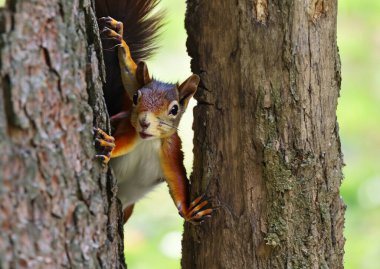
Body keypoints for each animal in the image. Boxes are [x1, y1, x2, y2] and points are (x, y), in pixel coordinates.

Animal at [93, 0, 212, 222]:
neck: (147, 141)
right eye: (136, 97)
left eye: (174, 109)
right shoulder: (130, 128)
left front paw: (190, 211)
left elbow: (177, 181)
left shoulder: (170, 150)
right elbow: (130, 76)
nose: (144, 122)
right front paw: (120, 38)